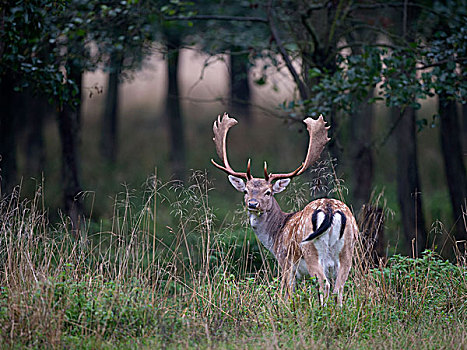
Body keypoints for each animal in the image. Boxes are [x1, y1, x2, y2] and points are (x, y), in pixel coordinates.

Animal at [210, 113, 360, 304]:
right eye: (246, 190)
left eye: (268, 192)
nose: (252, 204)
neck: (276, 234)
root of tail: (329, 209)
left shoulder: (286, 262)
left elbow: (286, 294)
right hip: (347, 250)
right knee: (339, 289)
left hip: (311, 250)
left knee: (324, 285)